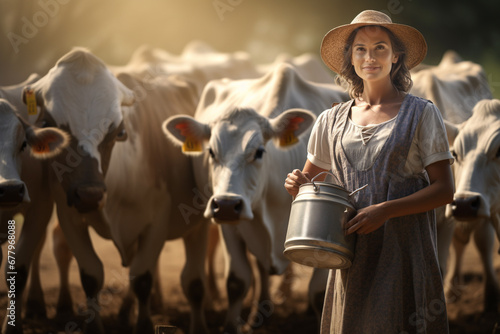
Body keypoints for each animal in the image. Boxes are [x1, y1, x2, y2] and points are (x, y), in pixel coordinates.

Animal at [163, 63, 348, 334]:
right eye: (211, 152)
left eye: (259, 152)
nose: (226, 205)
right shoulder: (231, 227)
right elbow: (237, 282)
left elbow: (318, 292)